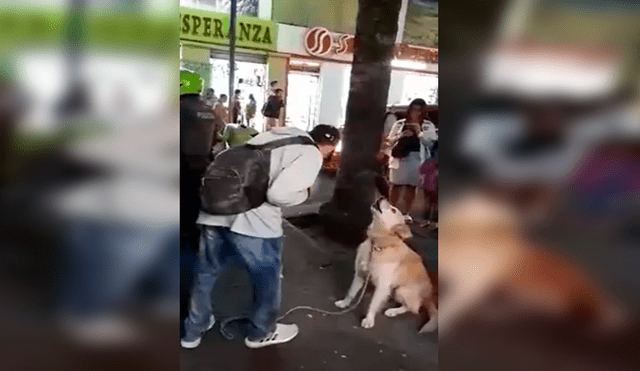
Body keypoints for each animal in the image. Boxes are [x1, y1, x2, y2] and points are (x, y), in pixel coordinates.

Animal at [336, 199, 436, 332]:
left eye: (393, 210)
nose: (381, 198)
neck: (376, 245)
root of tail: (428, 296)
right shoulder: (360, 274)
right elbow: (351, 292)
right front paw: (344, 303)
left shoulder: (382, 285)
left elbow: (373, 304)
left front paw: (369, 319)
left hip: (401, 290)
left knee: (413, 308)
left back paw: (393, 311)